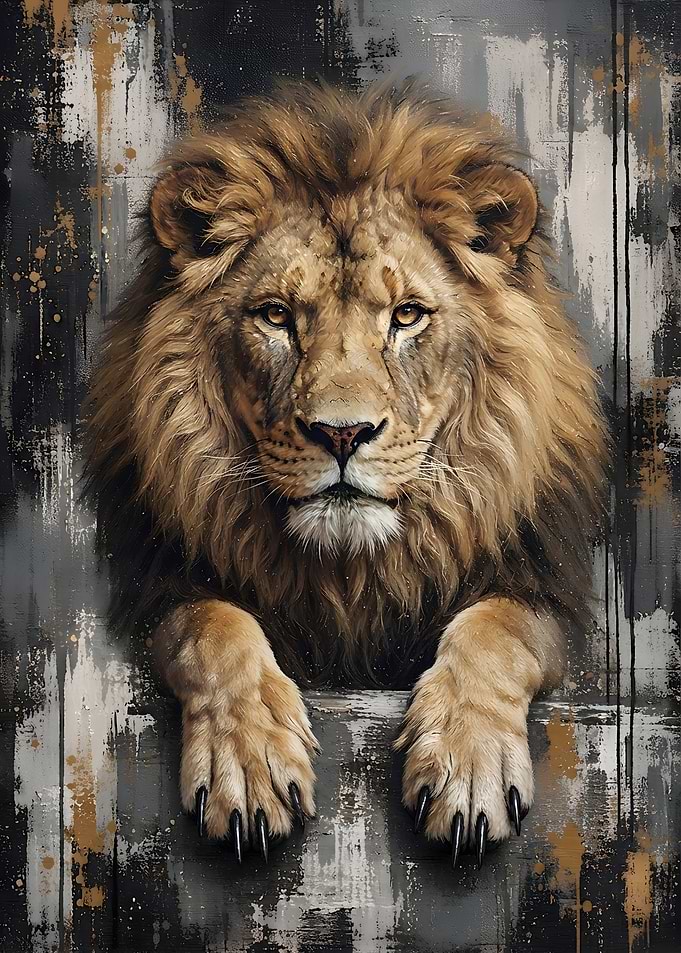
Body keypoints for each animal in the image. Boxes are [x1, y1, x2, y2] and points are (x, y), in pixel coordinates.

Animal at [82, 78, 609, 868]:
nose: (342, 433)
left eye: (407, 315)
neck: (352, 575)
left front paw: (466, 765)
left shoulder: (540, 590)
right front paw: (249, 763)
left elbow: (497, 629)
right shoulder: (160, 588)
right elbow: (212, 627)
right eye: (275, 316)